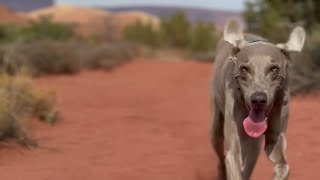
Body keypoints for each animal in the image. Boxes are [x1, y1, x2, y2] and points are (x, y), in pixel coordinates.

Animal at [211, 20, 306, 180]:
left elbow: (284, 166)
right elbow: (232, 159)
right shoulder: (234, 148)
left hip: (254, 146)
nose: (258, 99)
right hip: (216, 127)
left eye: (274, 68)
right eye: (244, 68)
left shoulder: (275, 138)